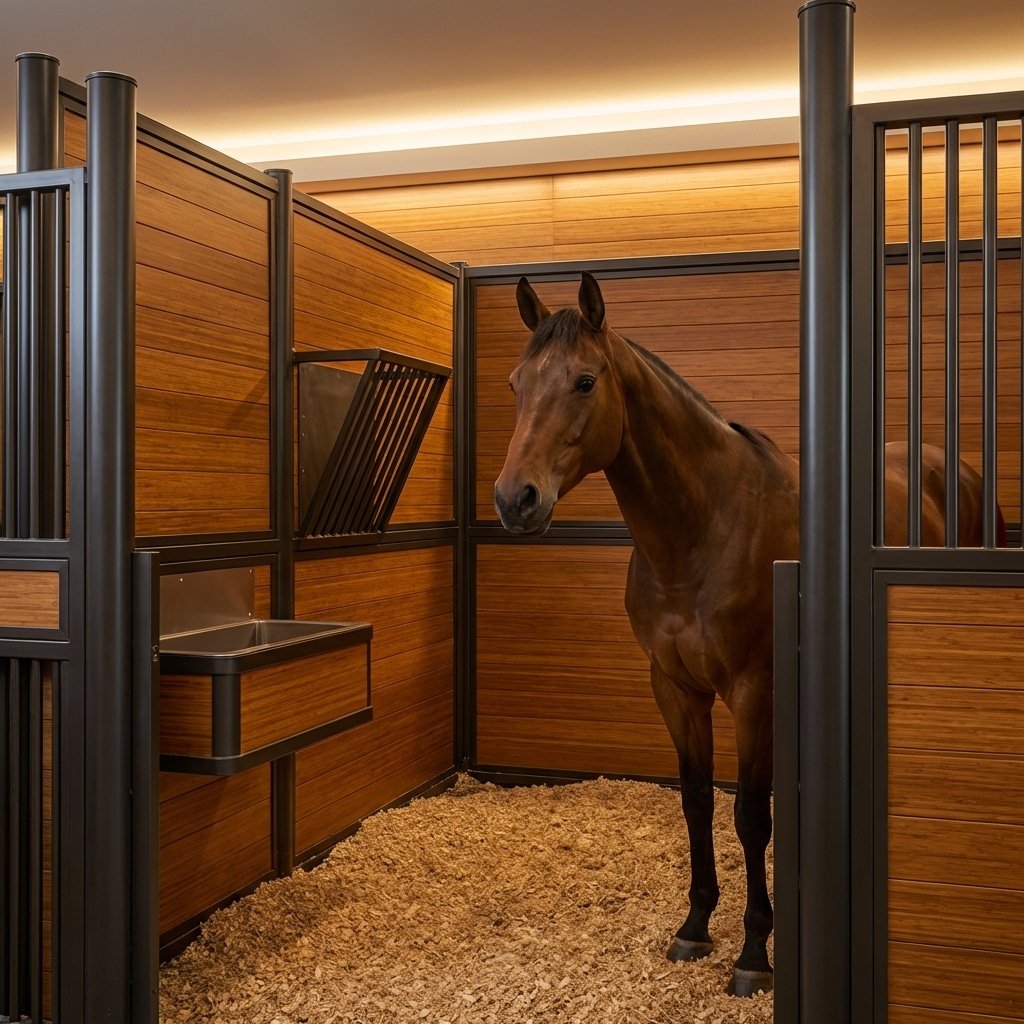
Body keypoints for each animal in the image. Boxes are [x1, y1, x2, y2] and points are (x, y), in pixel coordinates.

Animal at [493, 271, 994, 998]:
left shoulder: (755, 690)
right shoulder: (675, 688)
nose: (515, 499)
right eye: (515, 384)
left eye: (585, 381)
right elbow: (699, 802)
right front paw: (696, 925)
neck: (701, 529)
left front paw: (757, 950)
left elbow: (751, 814)